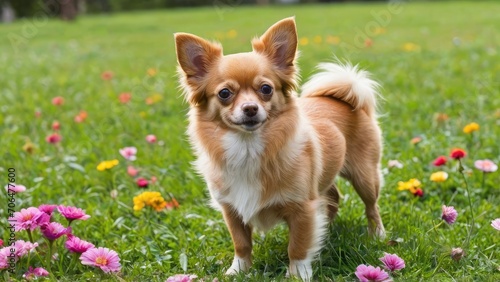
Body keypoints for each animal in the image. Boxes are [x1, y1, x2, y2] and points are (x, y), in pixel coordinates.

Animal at [174, 17, 384, 280]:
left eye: (266, 89)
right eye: (224, 93)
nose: (250, 108)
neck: (248, 147)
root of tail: (345, 96)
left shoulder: (302, 208)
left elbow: (298, 245)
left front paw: (298, 274)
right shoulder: (231, 210)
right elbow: (241, 243)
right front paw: (238, 270)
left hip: (364, 175)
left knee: (371, 206)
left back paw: (377, 235)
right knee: (334, 196)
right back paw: (327, 227)